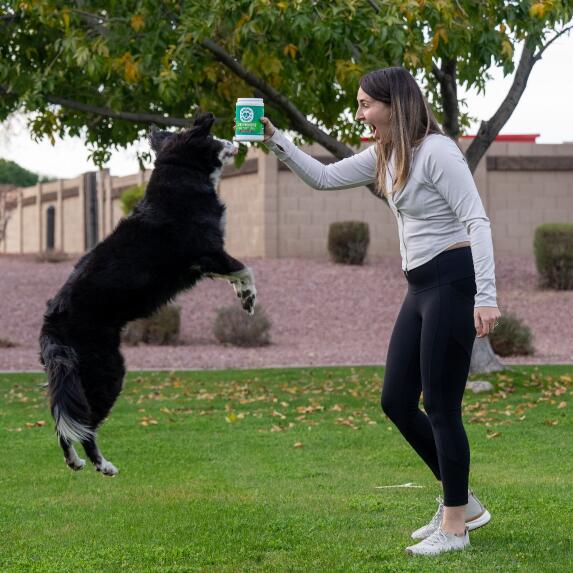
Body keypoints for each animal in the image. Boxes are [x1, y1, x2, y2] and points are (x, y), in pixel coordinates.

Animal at [40, 111, 255, 474]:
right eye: (214, 137)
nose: (238, 141)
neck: (181, 171)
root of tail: (52, 322)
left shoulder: (207, 263)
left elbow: (235, 274)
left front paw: (242, 296)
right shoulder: (208, 252)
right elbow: (245, 269)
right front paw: (249, 297)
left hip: (73, 377)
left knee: (63, 422)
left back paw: (75, 462)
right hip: (107, 370)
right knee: (85, 425)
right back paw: (103, 465)